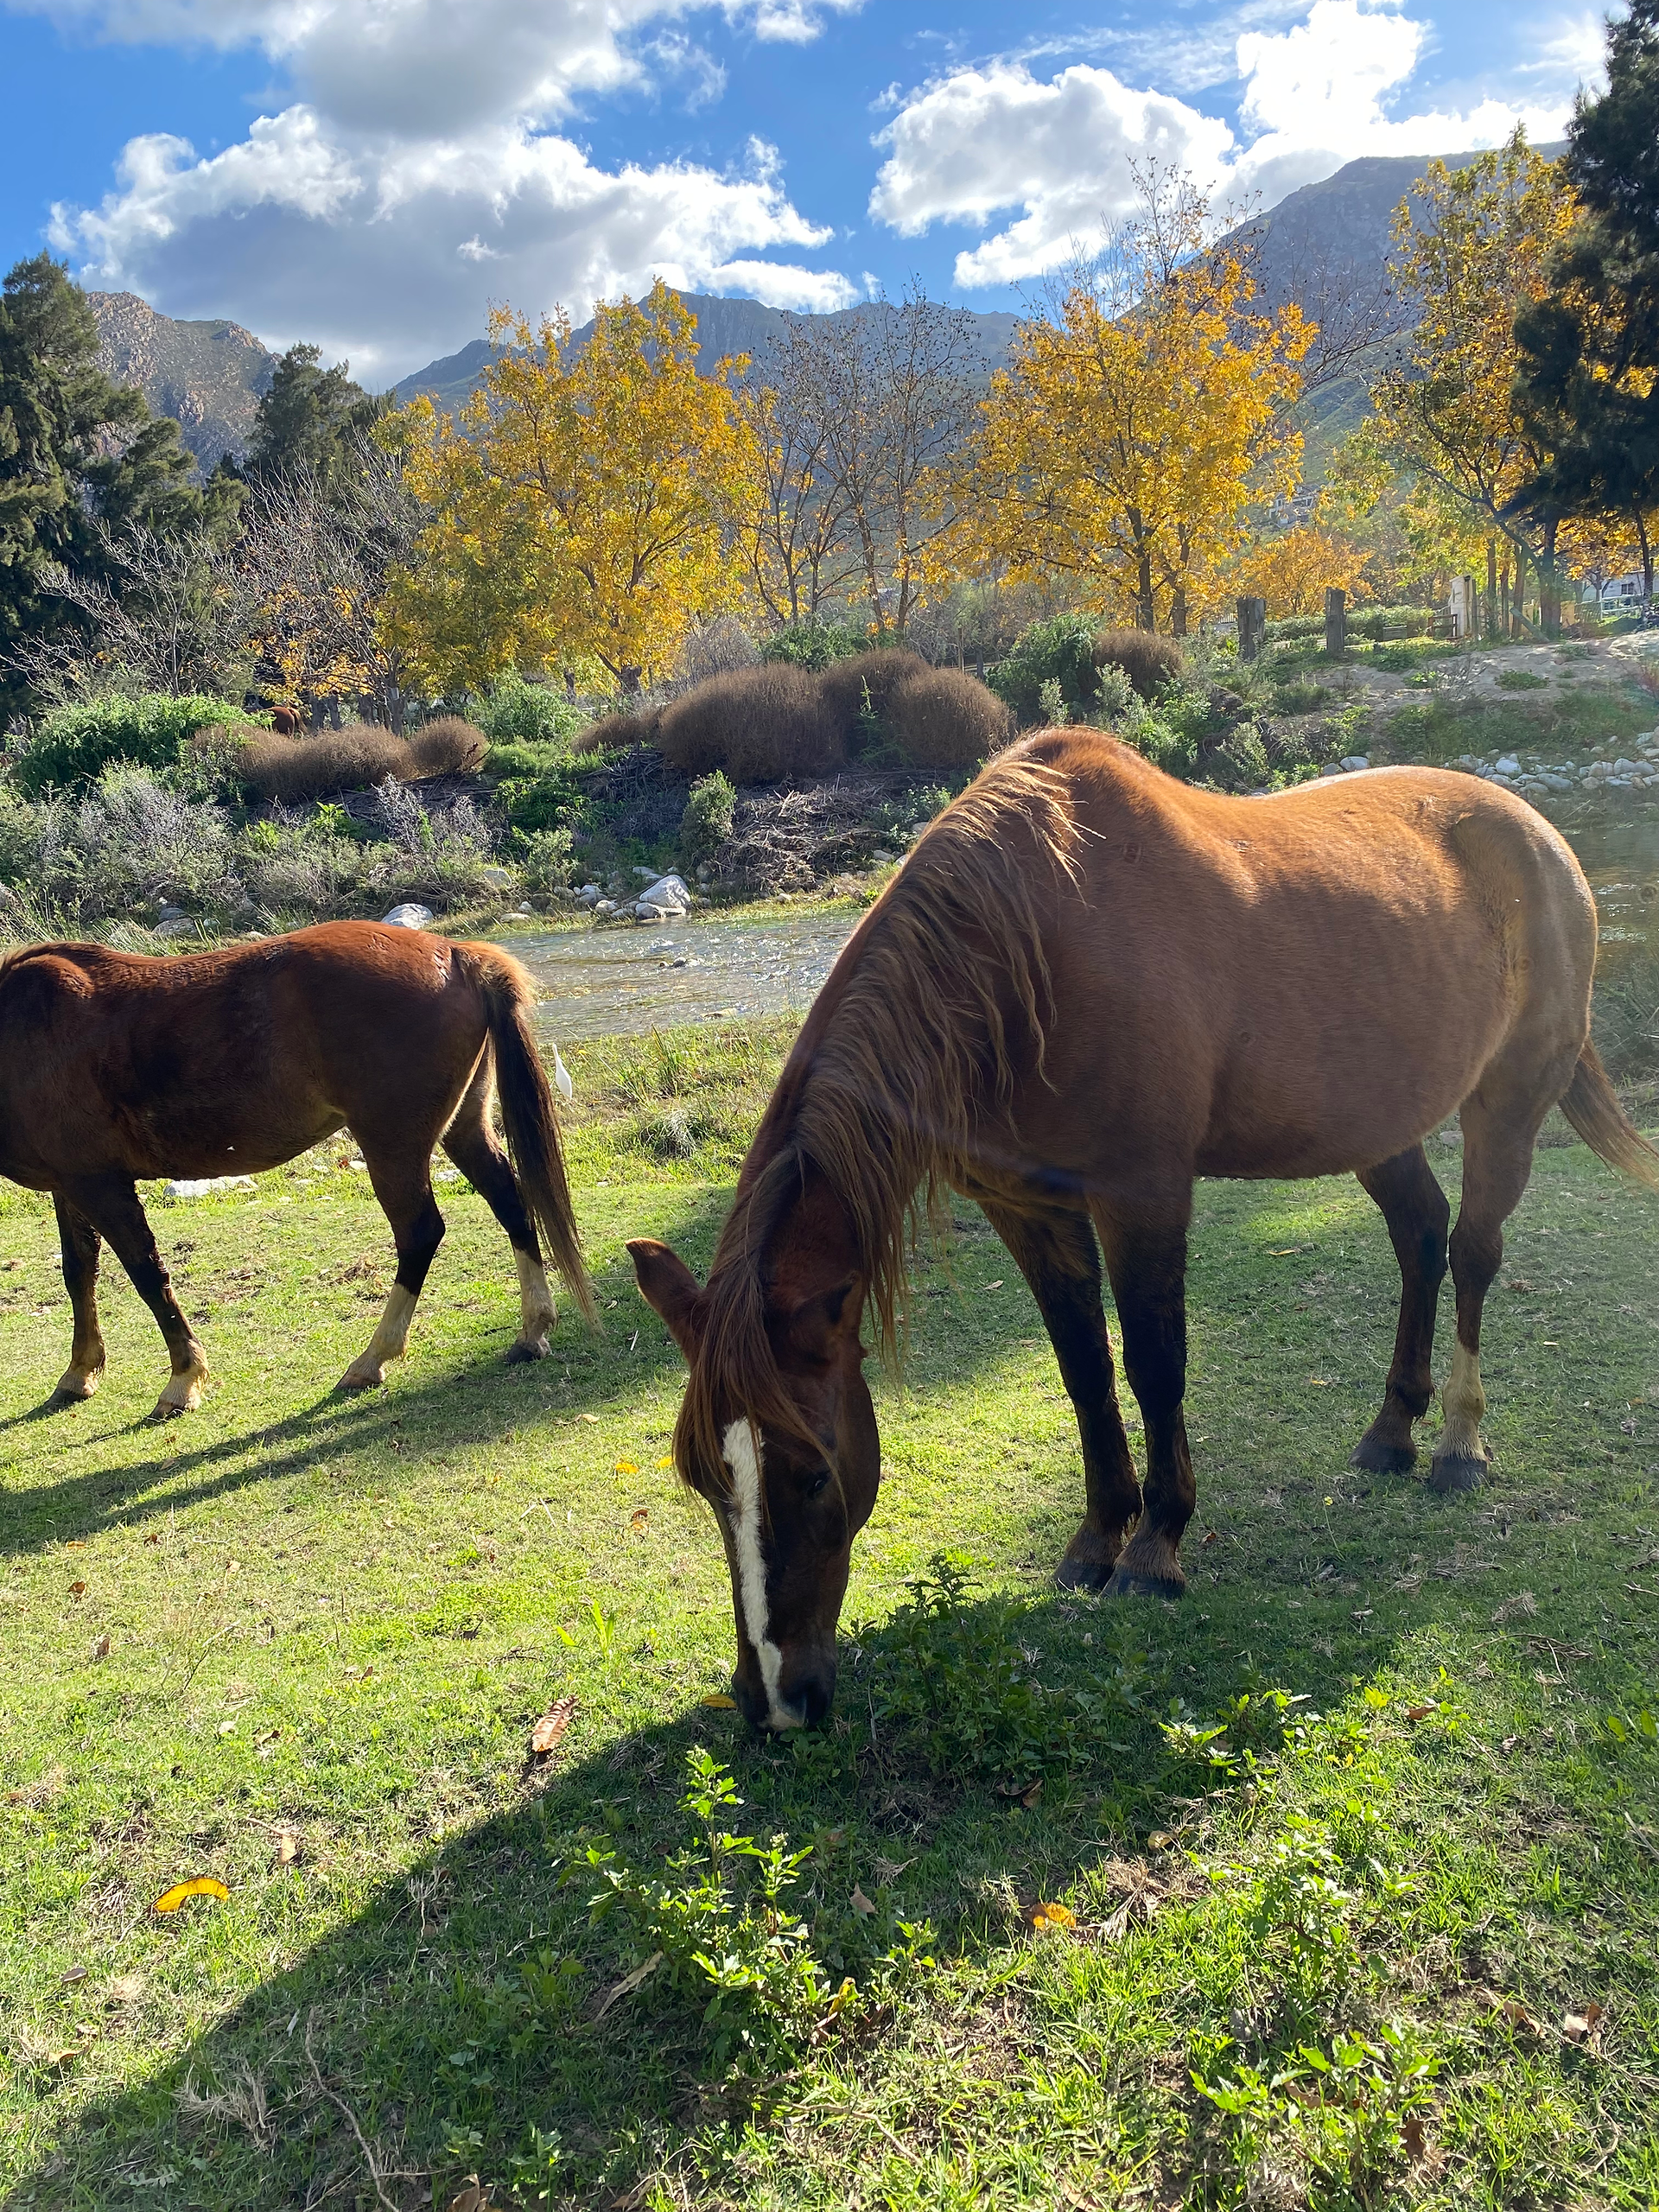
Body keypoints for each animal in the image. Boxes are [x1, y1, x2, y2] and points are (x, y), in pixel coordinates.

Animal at [0, 922, 592, 1416]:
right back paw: (531, 1331)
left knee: (421, 1232)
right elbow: (79, 1273)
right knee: (511, 1202)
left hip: (392, 1147)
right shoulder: (69, 1186)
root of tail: (455, 954)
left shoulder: (99, 1184)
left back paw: (372, 1358)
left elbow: (146, 1274)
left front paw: (184, 1379)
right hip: (464, 1128)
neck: (22, 1030)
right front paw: (79, 1373)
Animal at [629, 730, 1659, 1731]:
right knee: (1421, 1236)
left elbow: (1156, 1366)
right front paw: (1097, 1536)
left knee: (1475, 1254)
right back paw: (1391, 1431)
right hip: (1378, 1123)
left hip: (1508, 1103)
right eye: (704, 1480)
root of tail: (1543, 836)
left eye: (811, 1473)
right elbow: (1084, 1373)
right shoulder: (1029, 1207)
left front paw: (1158, 1545)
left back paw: (1456, 1443)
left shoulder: (1143, 1196)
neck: (1032, 948)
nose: (774, 1701)